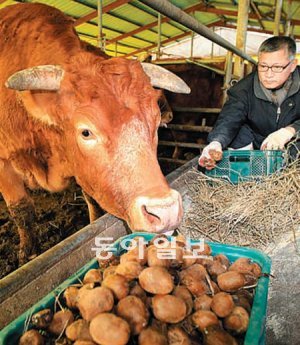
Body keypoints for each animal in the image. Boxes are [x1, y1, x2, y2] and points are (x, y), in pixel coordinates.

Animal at [0, 4, 190, 262]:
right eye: (86, 132)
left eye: (156, 122)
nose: (166, 211)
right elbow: (21, 210)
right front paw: (28, 253)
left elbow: (94, 203)